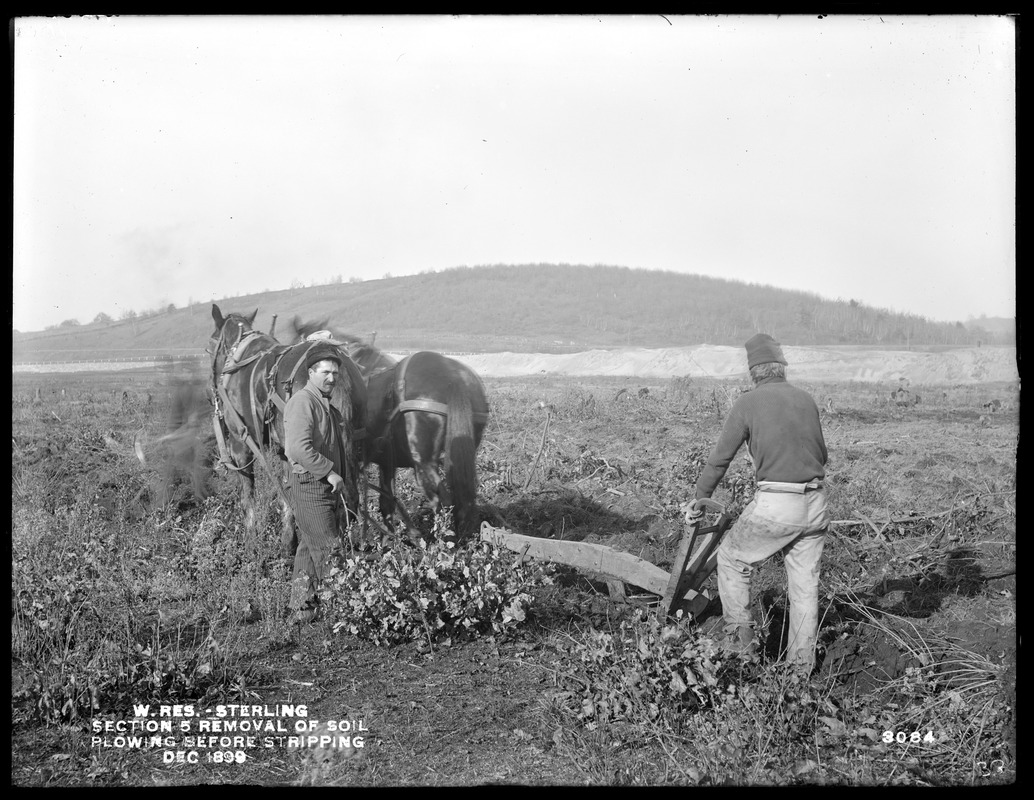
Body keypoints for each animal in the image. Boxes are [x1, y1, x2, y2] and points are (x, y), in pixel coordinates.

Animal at [206, 303, 368, 554]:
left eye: (211, 343)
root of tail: (338, 373)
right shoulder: (284, 451)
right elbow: (287, 494)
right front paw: (287, 541)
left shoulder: (240, 443)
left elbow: (247, 497)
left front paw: (251, 543)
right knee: (350, 497)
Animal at [285, 316, 490, 541]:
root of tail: (453, 379)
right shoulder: (386, 463)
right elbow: (387, 502)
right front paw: (394, 538)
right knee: (463, 501)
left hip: (424, 463)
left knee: (442, 501)